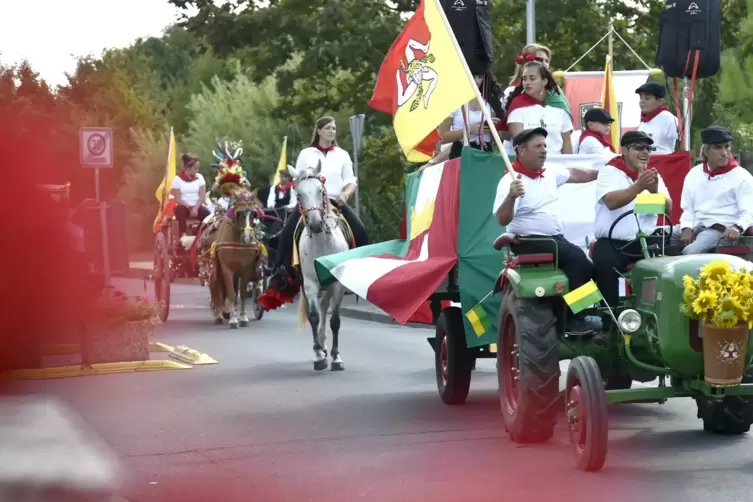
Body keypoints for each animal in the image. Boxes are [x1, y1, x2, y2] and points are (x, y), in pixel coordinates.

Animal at [290, 159, 352, 370]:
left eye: (320, 190)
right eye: (299, 194)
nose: (316, 224)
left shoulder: (337, 284)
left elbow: (335, 320)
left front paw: (336, 357)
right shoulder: (309, 283)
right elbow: (314, 317)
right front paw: (319, 356)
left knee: (325, 308)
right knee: (319, 310)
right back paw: (321, 348)